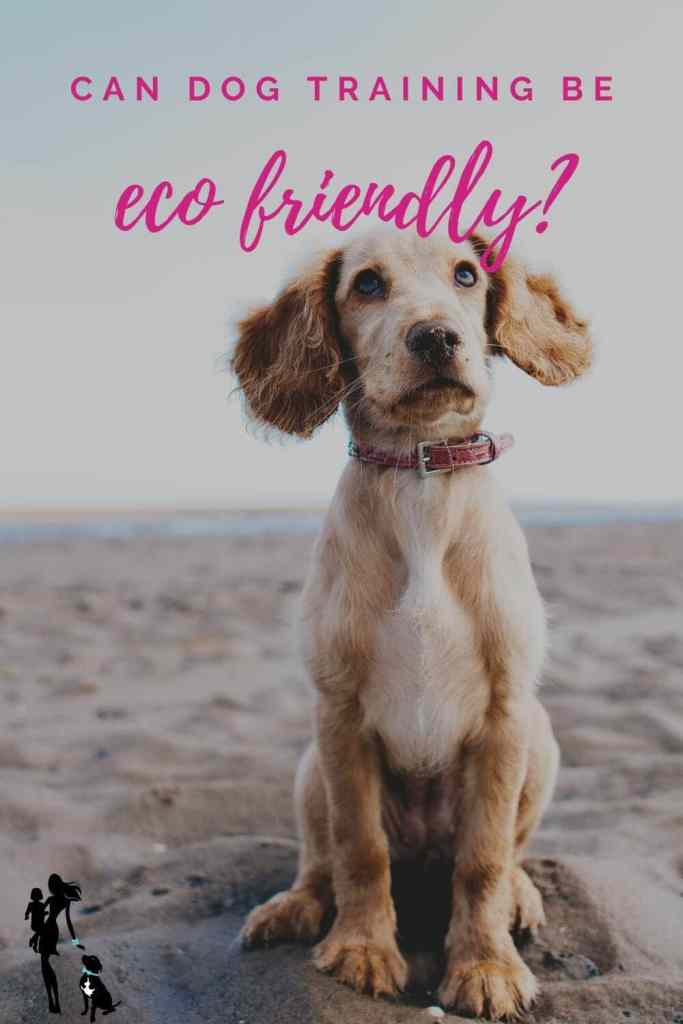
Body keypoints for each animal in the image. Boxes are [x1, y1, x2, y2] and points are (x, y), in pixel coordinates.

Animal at [232, 228, 589, 1019]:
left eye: (466, 275)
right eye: (366, 284)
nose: (435, 337)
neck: (419, 477)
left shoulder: (506, 716)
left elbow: (484, 859)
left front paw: (485, 966)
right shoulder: (338, 713)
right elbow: (358, 847)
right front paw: (363, 948)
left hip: (543, 743)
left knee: (505, 854)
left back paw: (519, 897)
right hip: (310, 766)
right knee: (322, 858)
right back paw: (295, 906)